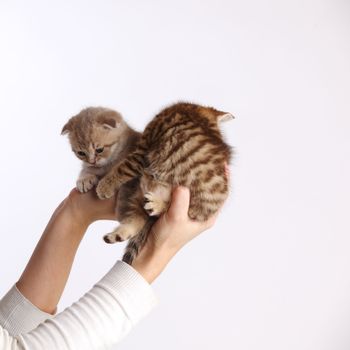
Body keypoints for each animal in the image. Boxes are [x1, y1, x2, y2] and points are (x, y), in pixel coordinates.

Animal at [95, 101, 234, 262]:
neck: (193, 112)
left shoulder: (143, 150)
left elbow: (123, 168)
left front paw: (104, 187)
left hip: (202, 202)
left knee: (174, 210)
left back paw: (157, 205)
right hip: (138, 195)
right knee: (137, 219)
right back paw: (117, 234)